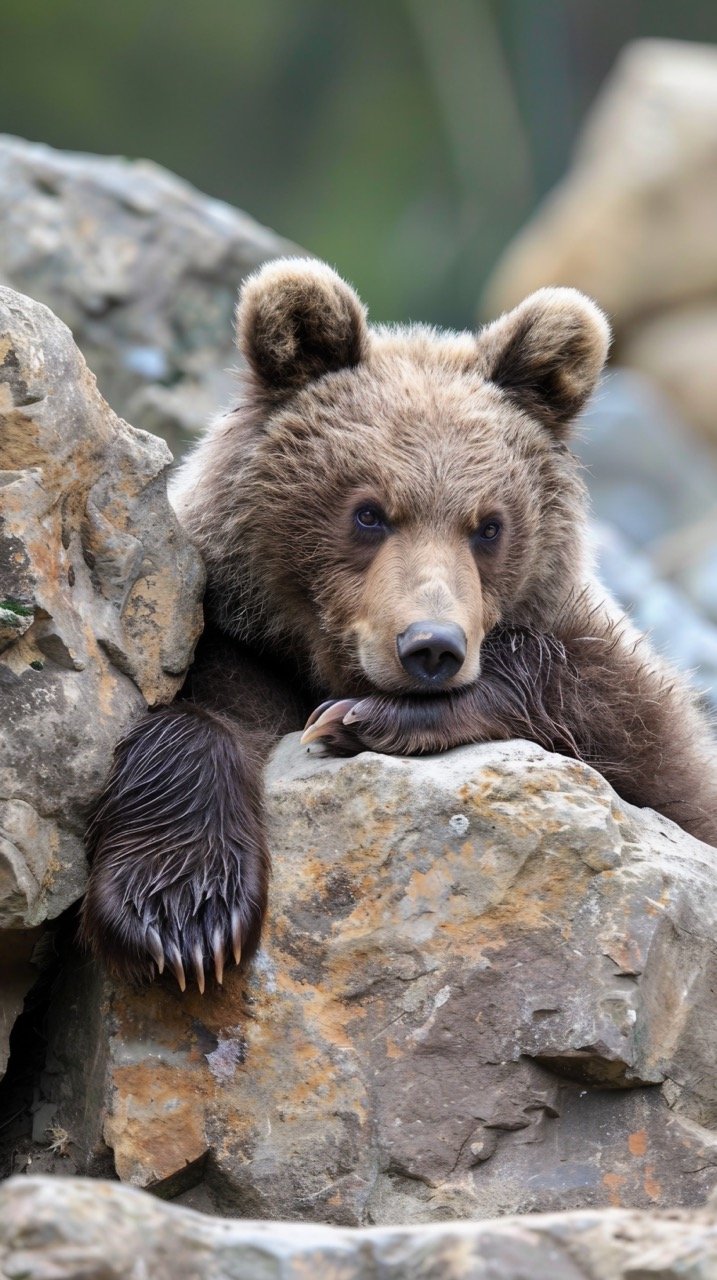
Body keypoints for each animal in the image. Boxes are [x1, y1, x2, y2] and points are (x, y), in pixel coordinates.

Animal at [81, 254, 717, 983]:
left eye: (489, 525)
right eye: (368, 512)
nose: (431, 647)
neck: (318, 661)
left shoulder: (625, 693)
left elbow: (640, 741)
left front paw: (366, 717)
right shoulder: (227, 636)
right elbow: (196, 713)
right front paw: (182, 917)